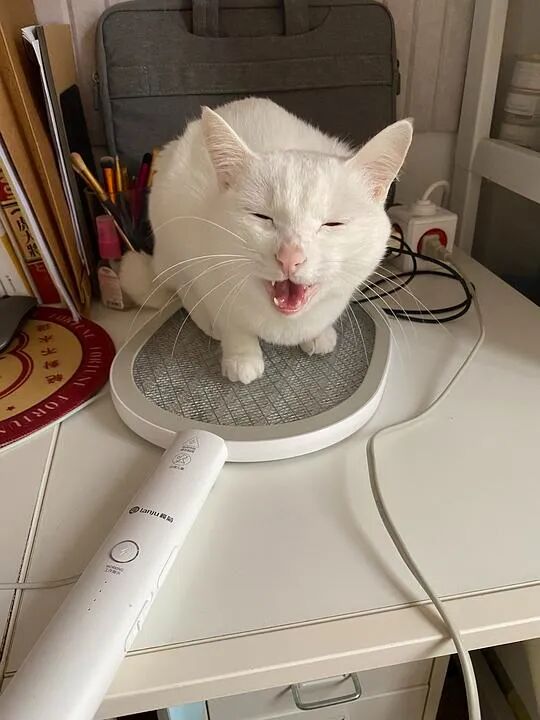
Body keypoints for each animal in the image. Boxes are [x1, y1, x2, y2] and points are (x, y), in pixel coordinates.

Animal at [120, 98, 413, 384]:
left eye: (332, 224)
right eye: (262, 217)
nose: (290, 257)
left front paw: (318, 333)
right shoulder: (204, 263)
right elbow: (229, 318)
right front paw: (241, 354)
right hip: (167, 229)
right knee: (182, 286)